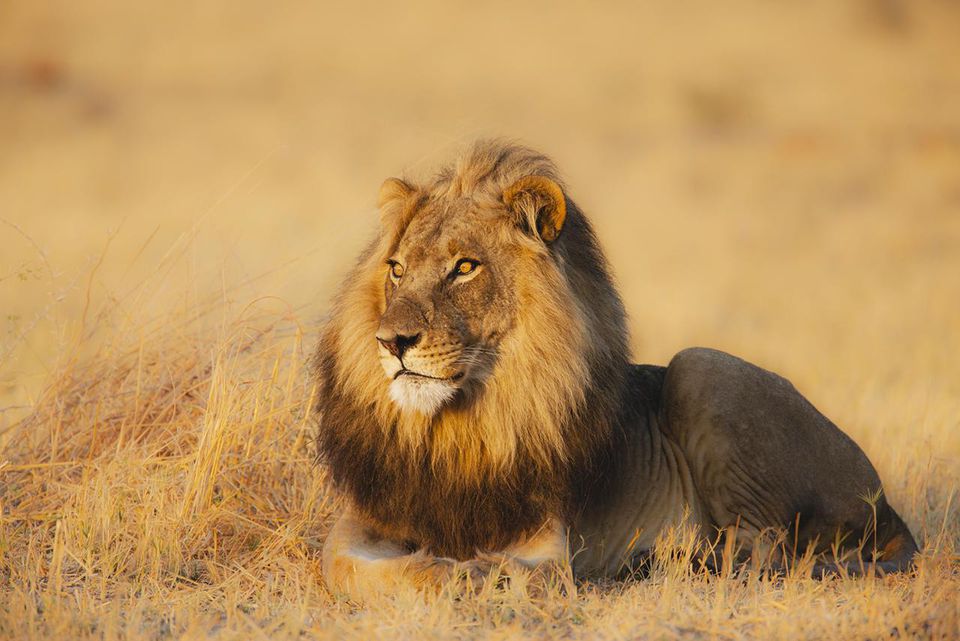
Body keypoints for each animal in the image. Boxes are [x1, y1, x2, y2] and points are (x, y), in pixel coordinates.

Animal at [314, 140, 916, 600]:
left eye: (465, 267)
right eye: (396, 269)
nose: (391, 342)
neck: (459, 429)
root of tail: (889, 507)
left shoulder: (548, 540)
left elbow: (524, 571)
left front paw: (474, 572)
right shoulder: (363, 521)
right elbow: (344, 564)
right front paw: (444, 568)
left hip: (701, 367)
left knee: (764, 552)